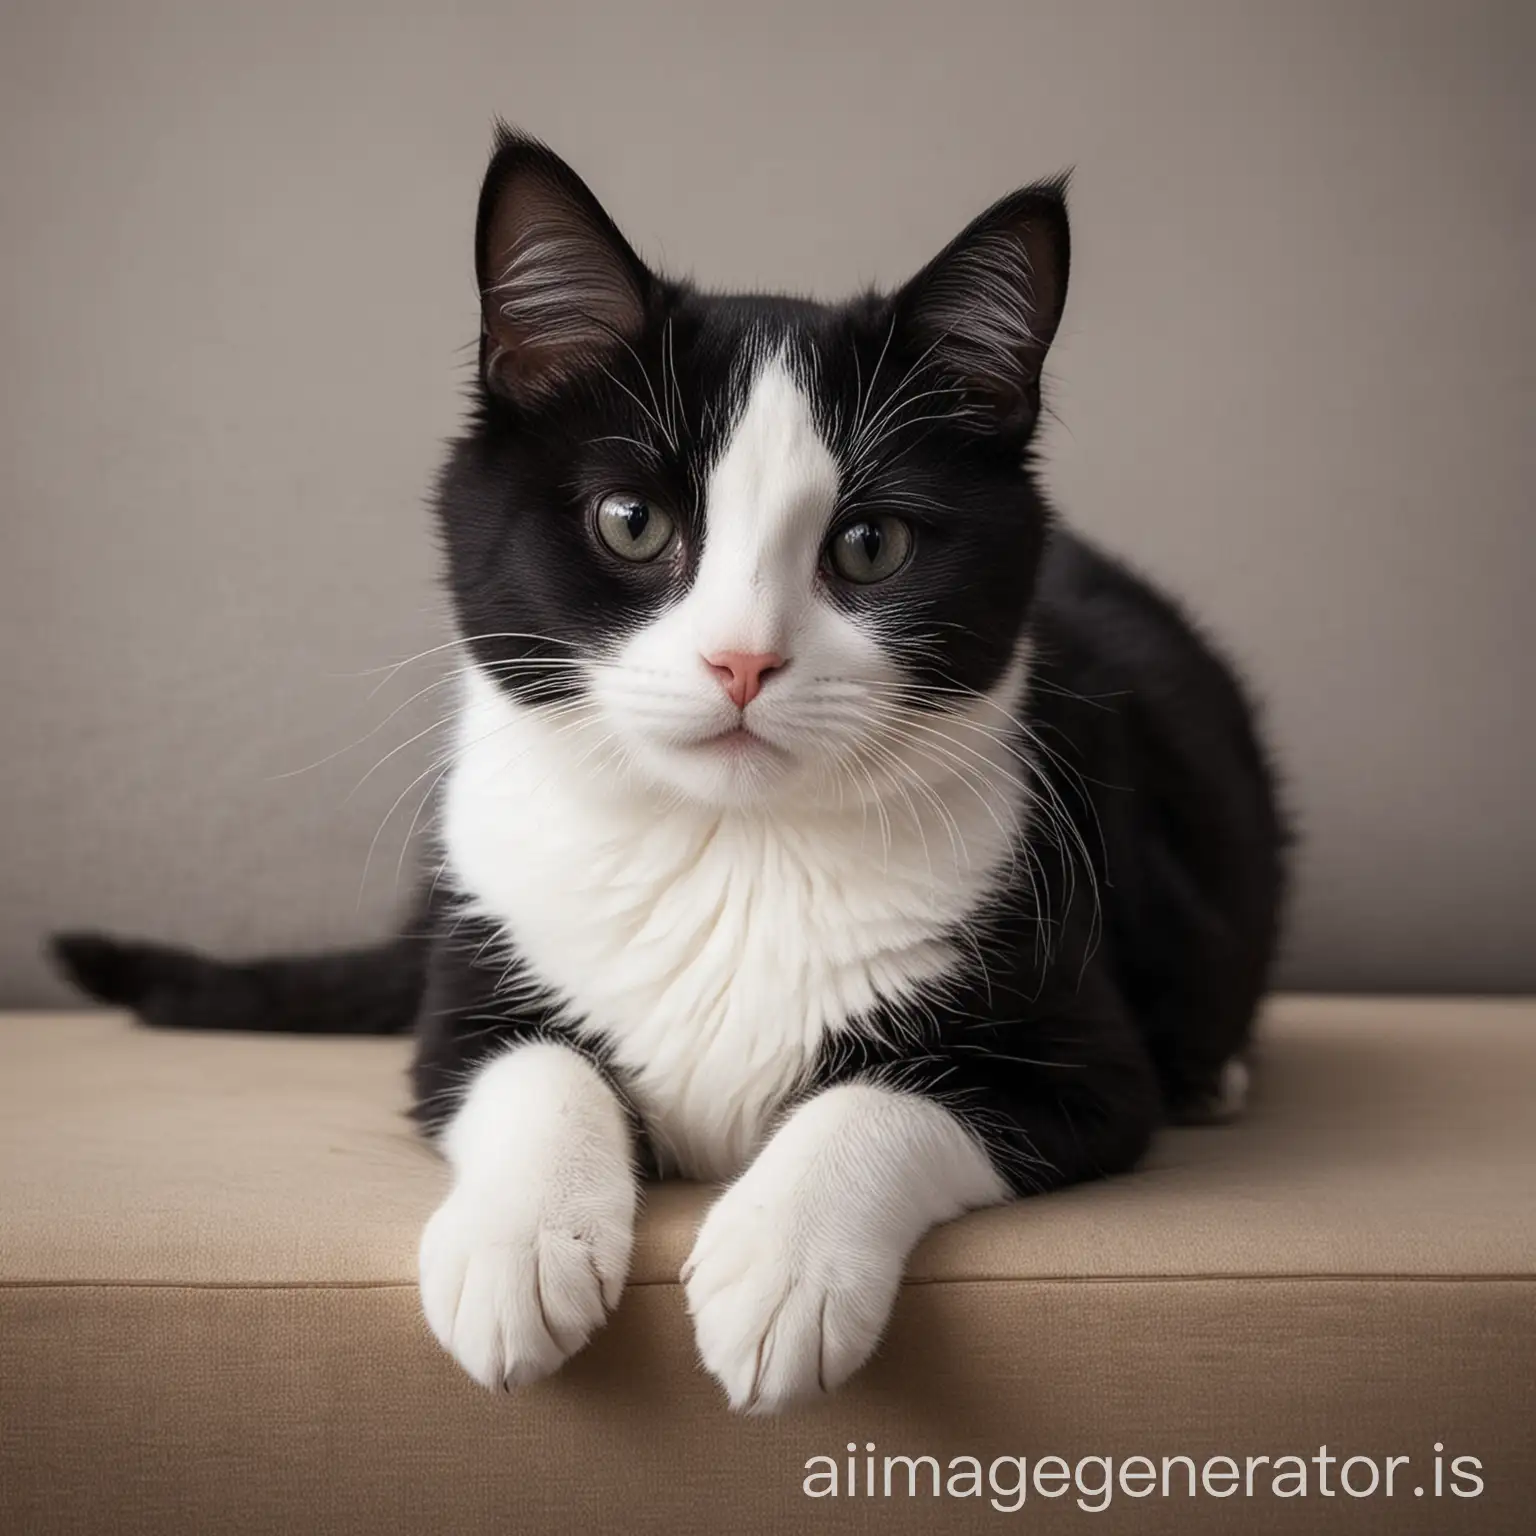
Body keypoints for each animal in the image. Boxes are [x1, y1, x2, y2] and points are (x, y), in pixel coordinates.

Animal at [51, 129, 1284, 1413]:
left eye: (871, 545)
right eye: (632, 522)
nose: (742, 659)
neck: (726, 844)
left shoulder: (1080, 1056)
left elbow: (891, 1097)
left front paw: (783, 1267)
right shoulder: (472, 982)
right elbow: (530, 1067)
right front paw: (519, 1248)